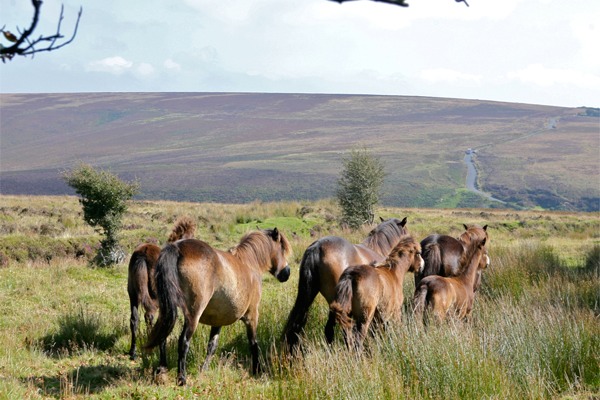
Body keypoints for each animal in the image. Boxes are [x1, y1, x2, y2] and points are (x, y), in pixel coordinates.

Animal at [127, 216, 197, 360]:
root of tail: (143, 254)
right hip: (156, 297)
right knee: (151, 317)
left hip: (132, 293)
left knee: (134, 320)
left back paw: (133, 351)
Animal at [146, 230, 294, 386]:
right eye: (282, 249)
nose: (287, 272)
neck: (249, 264)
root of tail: (177, 247)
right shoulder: (252, 316)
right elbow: (253, 343)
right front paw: (257, 370)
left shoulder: (218, 321)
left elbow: (212, 346)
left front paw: (204, 370)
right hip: (193, 315)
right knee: (183, 342)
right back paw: (182, 379)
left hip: (168, 311)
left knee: (163, 338)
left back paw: (162, 370)